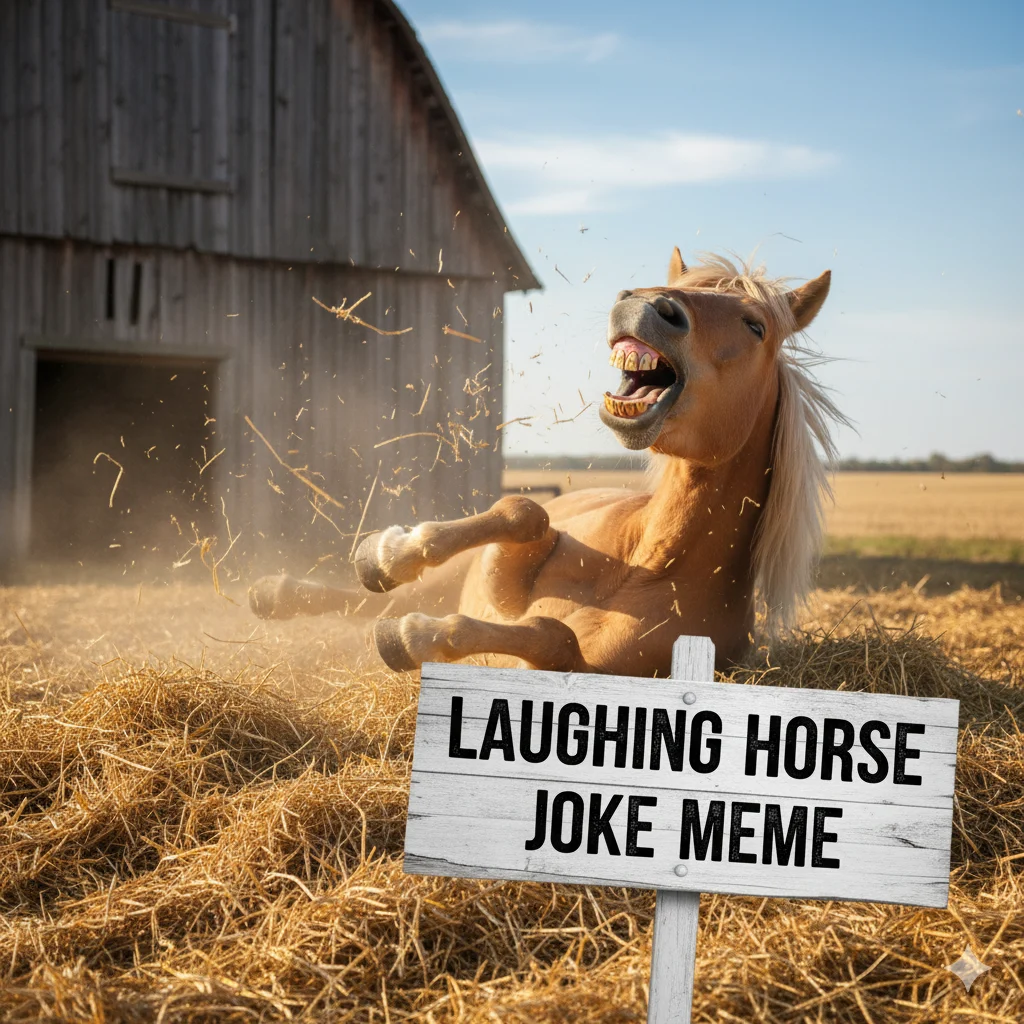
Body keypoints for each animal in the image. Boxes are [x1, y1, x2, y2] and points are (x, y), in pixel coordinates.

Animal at [248, 249, 844, 675]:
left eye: (756, 326)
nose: (647, 304)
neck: (647, 565)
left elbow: (554, 637)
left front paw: (416, 638)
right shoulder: (504, 572)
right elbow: (525, 513)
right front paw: (394, 552)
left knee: (378, 611)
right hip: (452, 575)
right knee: (365, 598)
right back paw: (294, 587)